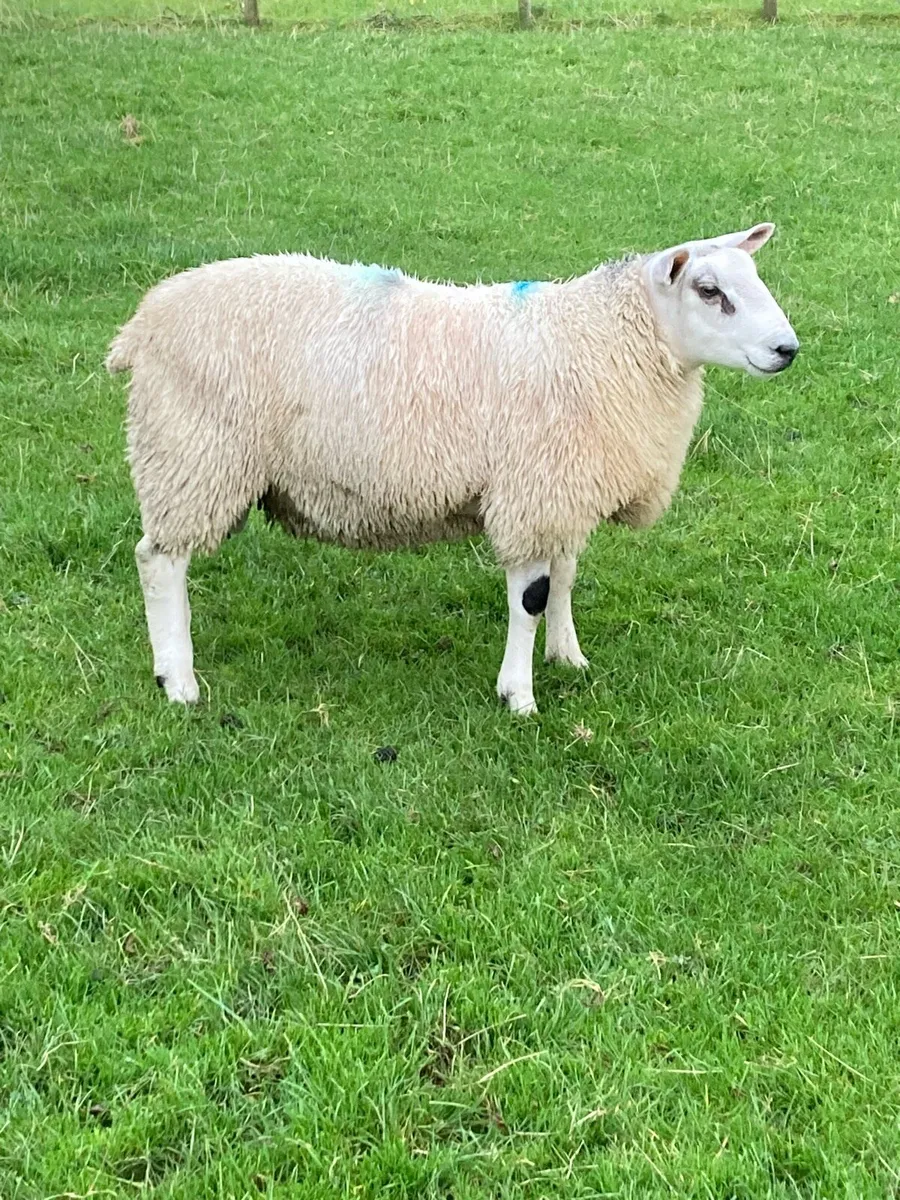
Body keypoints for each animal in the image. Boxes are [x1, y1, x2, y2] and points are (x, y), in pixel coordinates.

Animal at [106, 222, 798, 714]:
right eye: (709, 290)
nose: (787, 350)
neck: (603, 342)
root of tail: (143, 322)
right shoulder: (530, 491)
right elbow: (531, 597)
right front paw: (519, 696)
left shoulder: (562, 489)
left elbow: (566, 579)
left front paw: (568, 657)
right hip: (193, 452)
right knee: (160, 562)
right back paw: (179, 681)